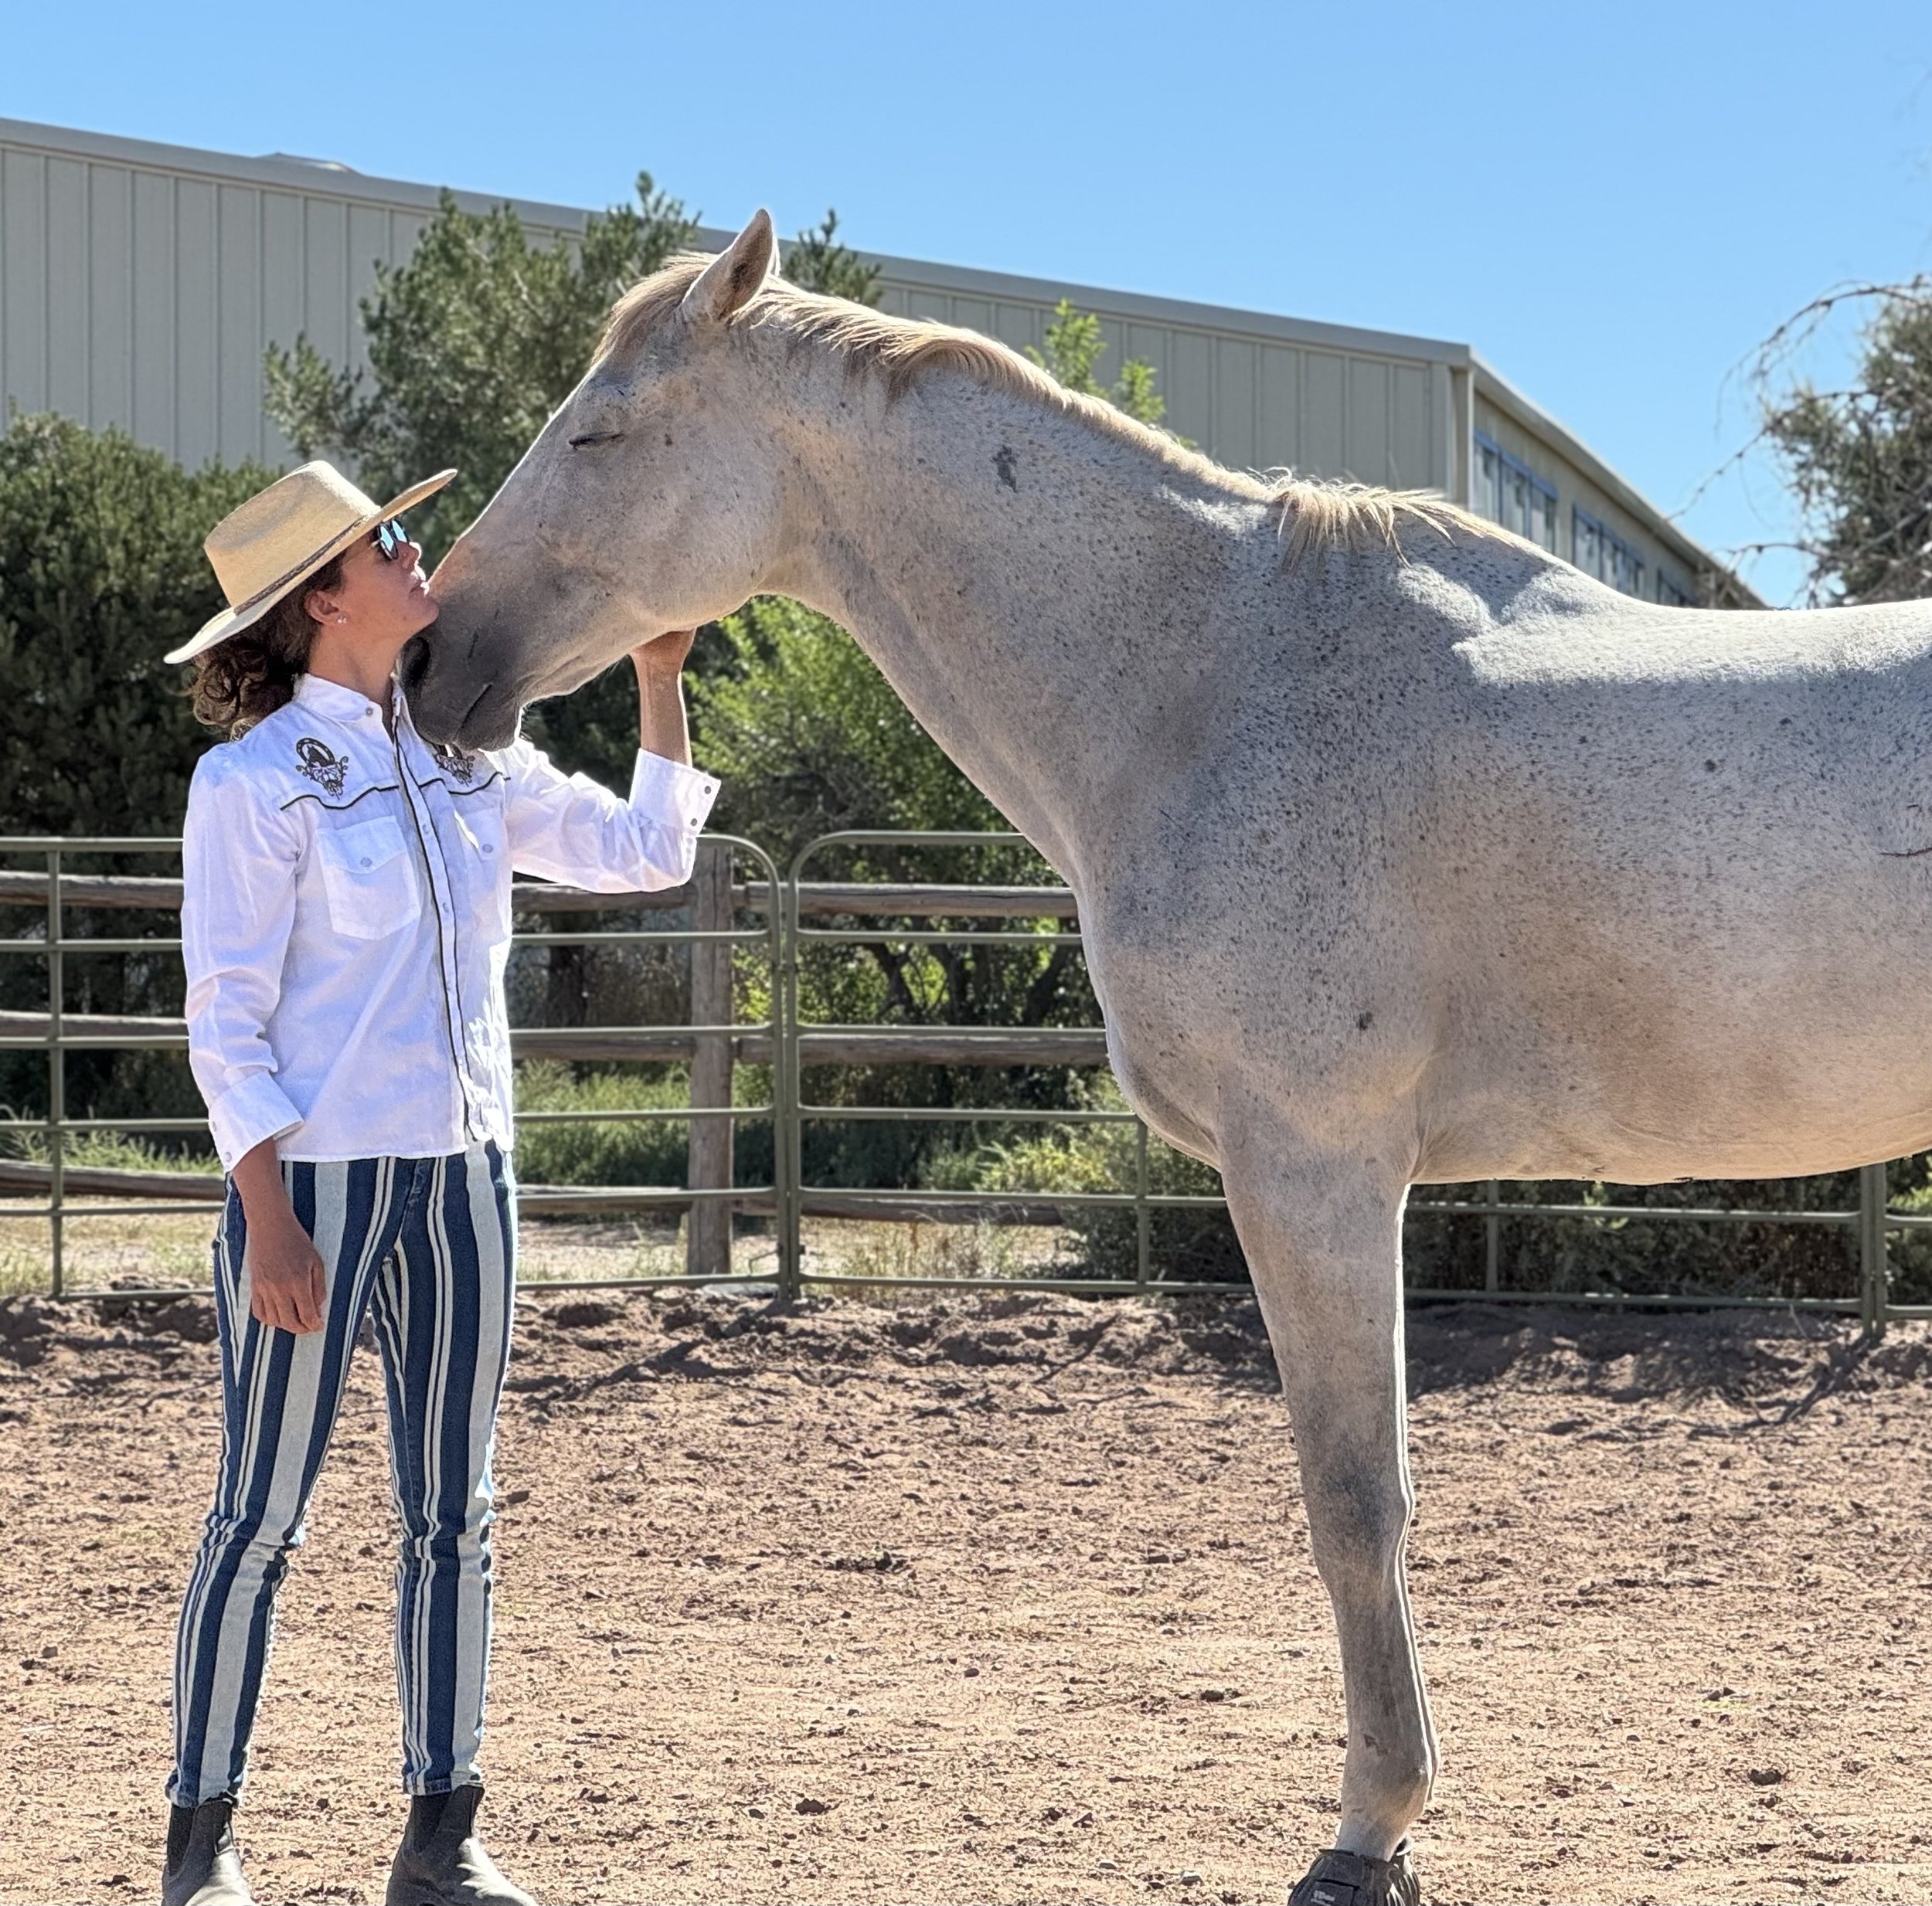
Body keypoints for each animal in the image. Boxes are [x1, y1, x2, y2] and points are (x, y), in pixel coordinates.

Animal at [406, 211, 1932, 1901]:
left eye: (599, 434)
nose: (430, 663)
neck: (1210, 680)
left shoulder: (1313, 1172)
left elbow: (1356, 1500)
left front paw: (1370, 1830)